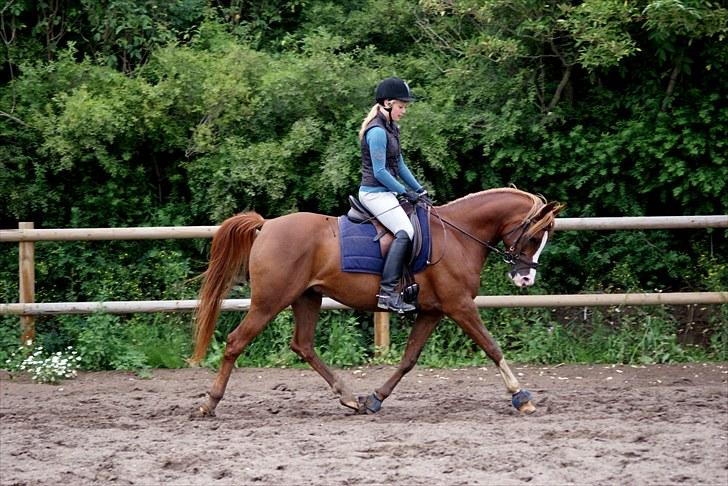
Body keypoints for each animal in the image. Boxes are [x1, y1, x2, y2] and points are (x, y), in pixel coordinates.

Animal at [189, 188, 564, 416]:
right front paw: (521, 397)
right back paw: (210, 403)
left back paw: (349, 397)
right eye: (533, 237)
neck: (458, 236)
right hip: (269, 302)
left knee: (303, 345)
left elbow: (408, 359)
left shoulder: (433, 311)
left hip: (307, 298)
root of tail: (266, 226)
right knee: (236, 342)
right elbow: (492, 347)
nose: (525, 280)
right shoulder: (460, 306)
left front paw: (374, 399)